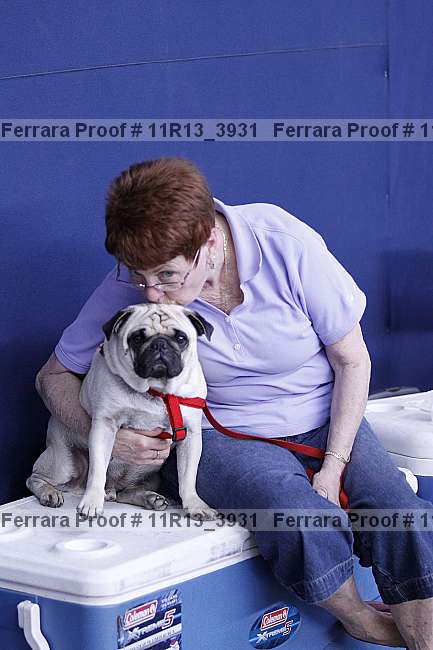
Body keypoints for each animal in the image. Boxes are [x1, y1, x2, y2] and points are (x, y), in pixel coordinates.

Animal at [27, 304, 218, 520]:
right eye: (137, 338)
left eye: (180, 338)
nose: (159, 344)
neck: (156, 391)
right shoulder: (104, 426)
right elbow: (97, 471)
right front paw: (91, 502)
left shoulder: (191, 435)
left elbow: (188, 477)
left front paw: (194, 505)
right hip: (64, 463)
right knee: (35, 478)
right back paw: (49, 493)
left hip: (151, 477)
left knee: (125, 493)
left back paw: (149, 498)